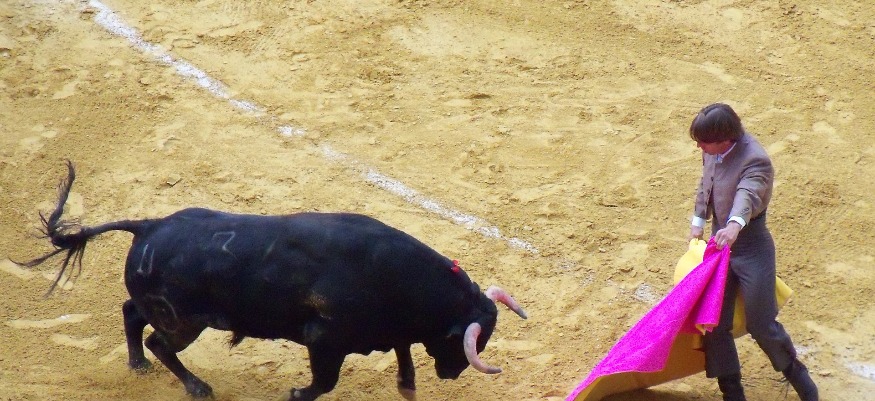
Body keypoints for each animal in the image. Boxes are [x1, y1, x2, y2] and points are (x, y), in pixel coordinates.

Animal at [21, 162, 527, 401]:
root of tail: (149, 226)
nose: (451, 372)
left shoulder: (390, 331)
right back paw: (197, 387)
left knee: (132, 315)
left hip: (166, 311)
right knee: (159, 342)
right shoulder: (325, 341)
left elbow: (404, 365)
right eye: (464, 341)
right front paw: (296, 392)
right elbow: (323, 384)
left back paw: (137, 366)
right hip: (186, 322)